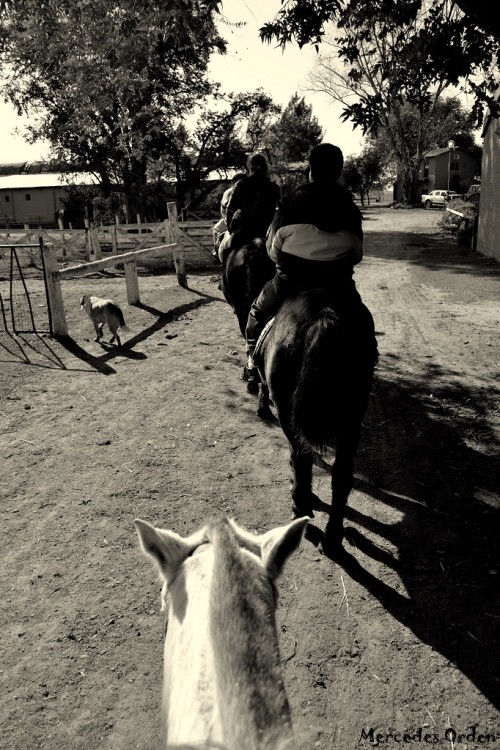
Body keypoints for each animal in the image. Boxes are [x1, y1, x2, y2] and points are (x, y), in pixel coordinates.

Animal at [222, 235, 376, 560]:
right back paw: (332, 538)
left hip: (290, 412)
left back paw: (301, 506)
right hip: (352, 415)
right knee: (342, 474)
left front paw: (258, 398)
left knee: (300, 456)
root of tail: (325, 317)